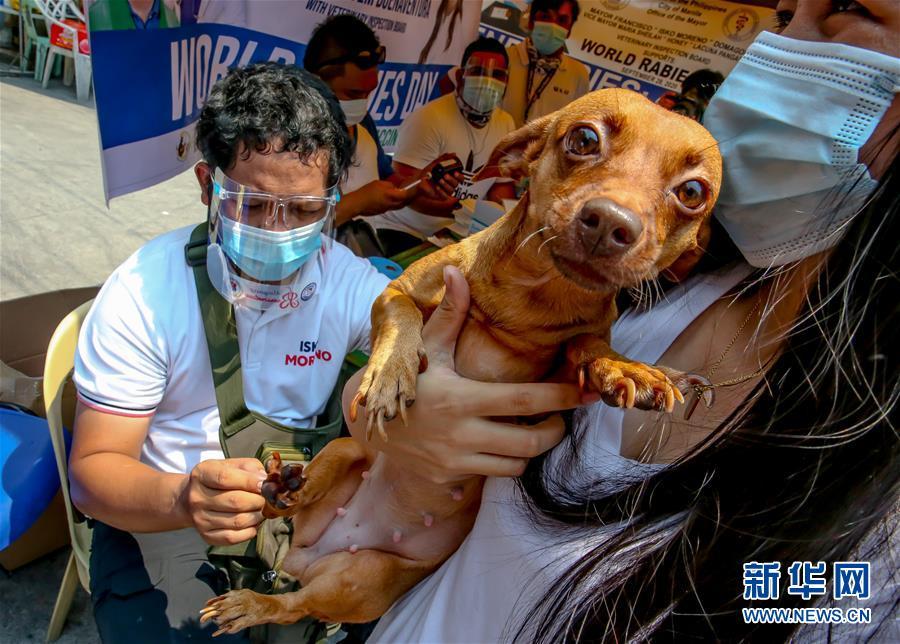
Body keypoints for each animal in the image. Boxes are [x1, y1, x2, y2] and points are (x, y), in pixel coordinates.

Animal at [200, 89, 720, 632]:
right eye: (583, 139)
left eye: (692, 193)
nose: (613, 220)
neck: (533, 300)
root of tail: (303, 558)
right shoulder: (396, 294)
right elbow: (404, 319)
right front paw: (390, 375)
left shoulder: (562, 374)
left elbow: (588, 345)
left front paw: (630, 367)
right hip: (345, 452)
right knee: (292, 549)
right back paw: (281, 493)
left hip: (362, 577)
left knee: (295, 605)